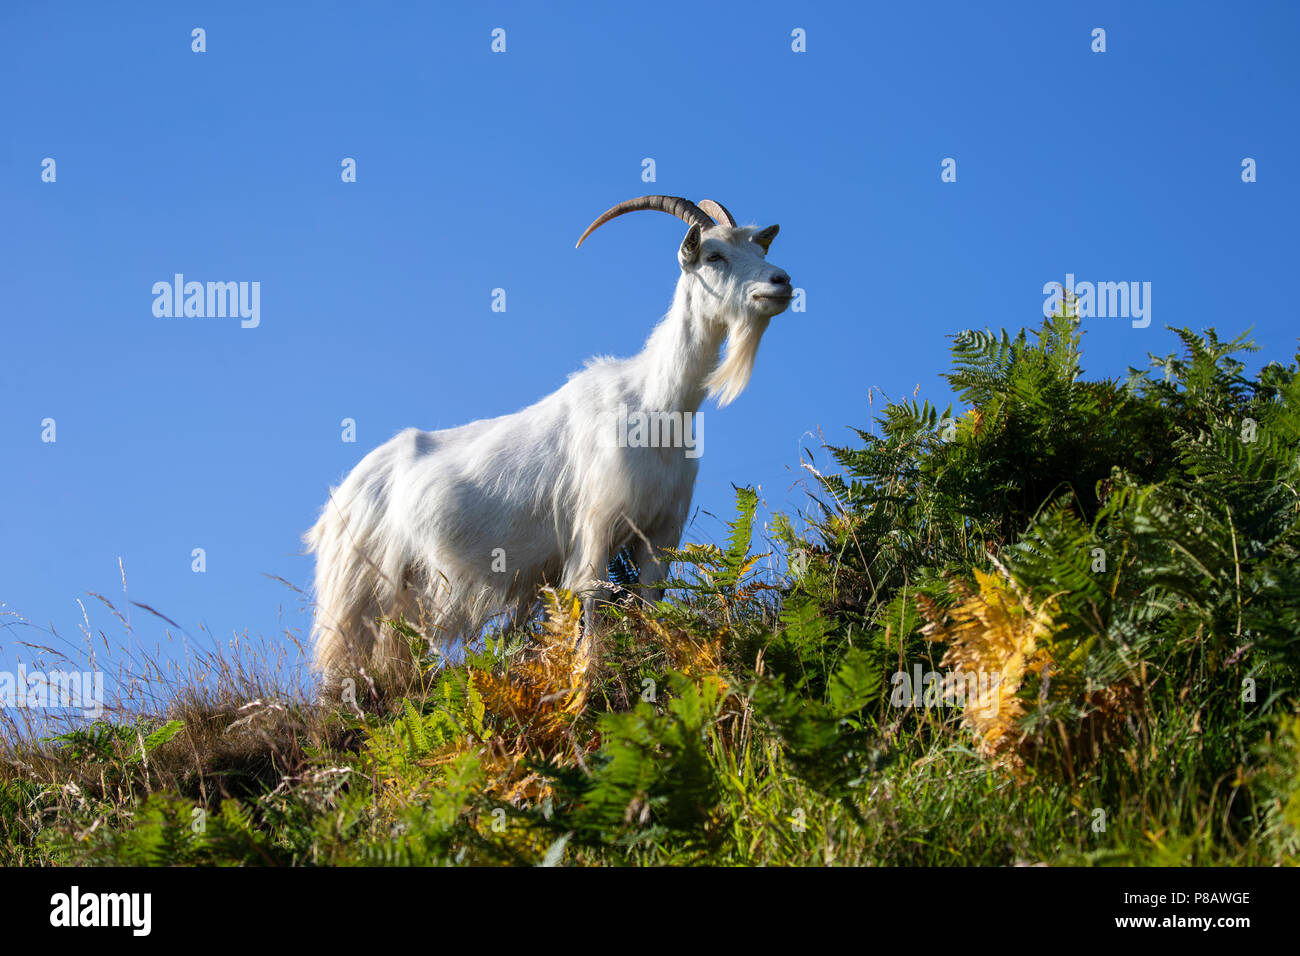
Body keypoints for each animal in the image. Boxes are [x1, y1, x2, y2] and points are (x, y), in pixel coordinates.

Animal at [305, 195, 792, 698]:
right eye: (714, 256)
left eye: (759, 246)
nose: (781, 282)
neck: (655, 404)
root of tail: (338, 501)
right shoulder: (596, 522)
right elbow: (593, 595)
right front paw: (591, 674)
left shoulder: (661, 530)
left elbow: (651, 599)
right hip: (356, 587)